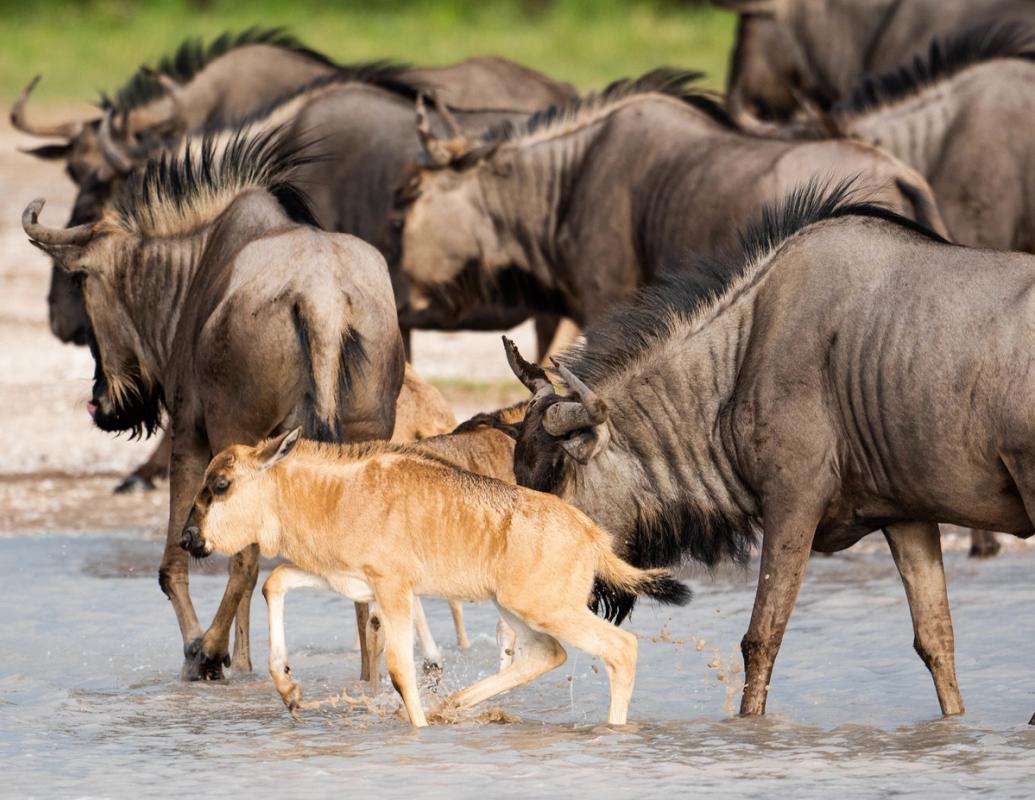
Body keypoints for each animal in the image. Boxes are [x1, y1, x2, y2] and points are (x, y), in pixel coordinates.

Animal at [182, 430, 691, 724]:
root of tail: (591, 534)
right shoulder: (349, 581)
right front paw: (288, 689)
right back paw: (456, 704)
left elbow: (399, 668)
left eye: (221, 484)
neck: (337, 494)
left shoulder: (393, 590)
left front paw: (419, 732)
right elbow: (276, 582)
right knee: (545, 655)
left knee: (621, 649)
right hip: (517, 608)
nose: (188, 539)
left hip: (548, 609)